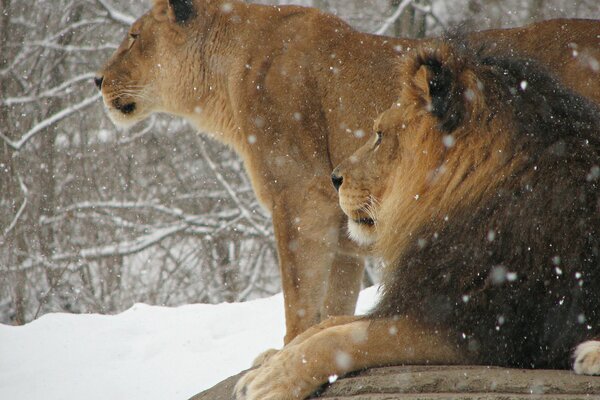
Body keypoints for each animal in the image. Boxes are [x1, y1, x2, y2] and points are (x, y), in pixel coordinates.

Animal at [92, 0, 600, 342]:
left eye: (133, 36)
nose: (96, 79)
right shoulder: (345, 228)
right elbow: (333, 304)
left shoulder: (302, 199)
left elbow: (299, 304)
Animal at [233, 41, 600, 400]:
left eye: (380, 135)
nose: (334, 178)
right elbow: (330, 323)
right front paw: (267, 362)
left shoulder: (479, 325)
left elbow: (345, 337)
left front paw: (269, 382)